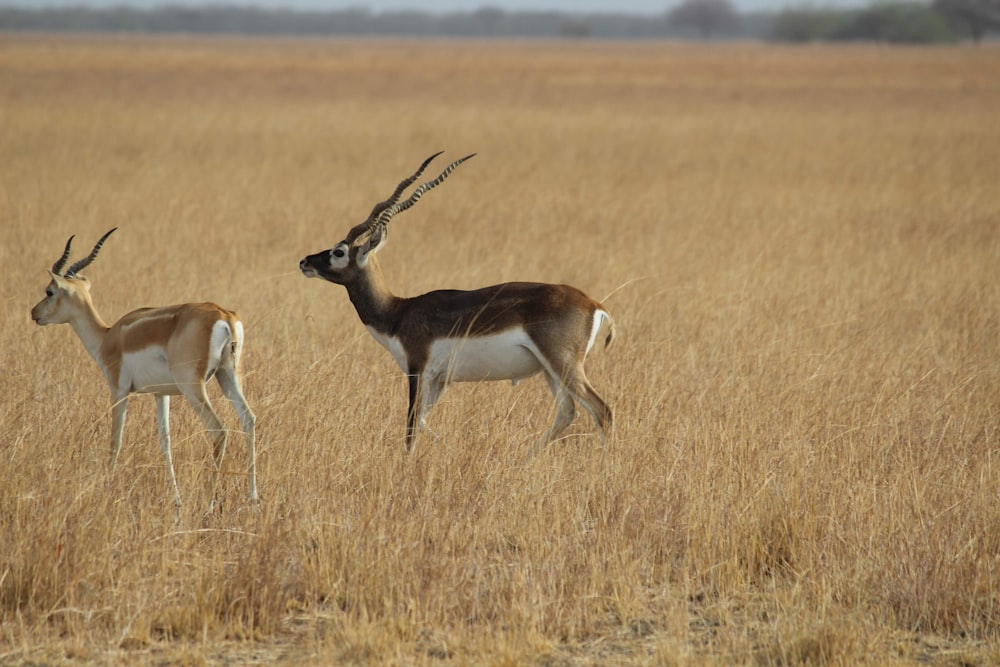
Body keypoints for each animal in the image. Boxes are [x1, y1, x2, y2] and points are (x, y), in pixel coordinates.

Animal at [31, 230, 258, 512]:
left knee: (219, 430)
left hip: (193, 387)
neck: (107, 337)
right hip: (228, 375)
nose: (34, 313)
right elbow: (165, 442)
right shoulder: (161, 394)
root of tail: (224, 316)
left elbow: (115, 440)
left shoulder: (118, 390)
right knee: (248, 419)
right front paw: (177, 501)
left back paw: (209, 505)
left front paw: (106, 490)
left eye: (49, 291)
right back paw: (253, 498)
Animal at [296, 154, 612, 452]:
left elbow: (411, 426)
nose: (305, 262)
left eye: (338, 252)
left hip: (563, 363)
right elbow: (423, 420)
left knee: (603, 411)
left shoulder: (418, 369)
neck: (398, 312)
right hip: (550, 369)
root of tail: (594, 304)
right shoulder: (440, 379)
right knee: (567, 412)